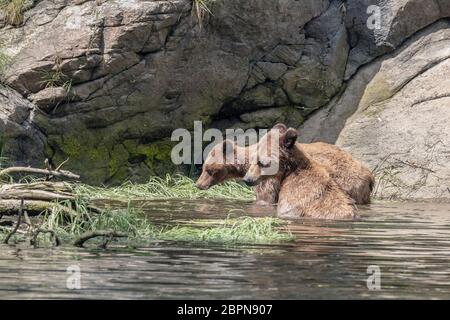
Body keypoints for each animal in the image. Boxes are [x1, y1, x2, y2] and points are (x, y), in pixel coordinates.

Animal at [195, 124, 374, 204]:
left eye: (208, 169)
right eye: (204, 168)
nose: (198, 184)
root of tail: (369, 174)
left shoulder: (267, 176)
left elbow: (266, 196)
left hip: (347, 183)